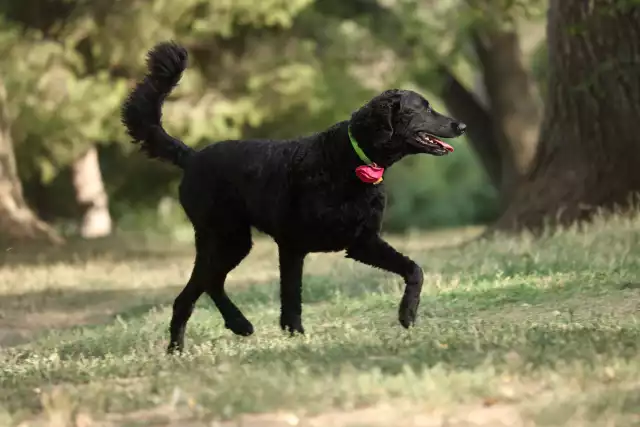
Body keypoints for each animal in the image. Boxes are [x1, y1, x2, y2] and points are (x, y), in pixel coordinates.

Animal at [122, 41, 468, 352]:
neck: (347, 159)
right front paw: (296, 335)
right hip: (225, 237)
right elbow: (291, 297)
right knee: (198, 288)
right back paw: (208, 335)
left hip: (230, 241)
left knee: (208, 284)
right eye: (423, 107)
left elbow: (415, 270)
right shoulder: (292, 245)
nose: (462, 124)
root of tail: (191, 157)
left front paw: (407, 313)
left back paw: (212, 334)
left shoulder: (362, 241)